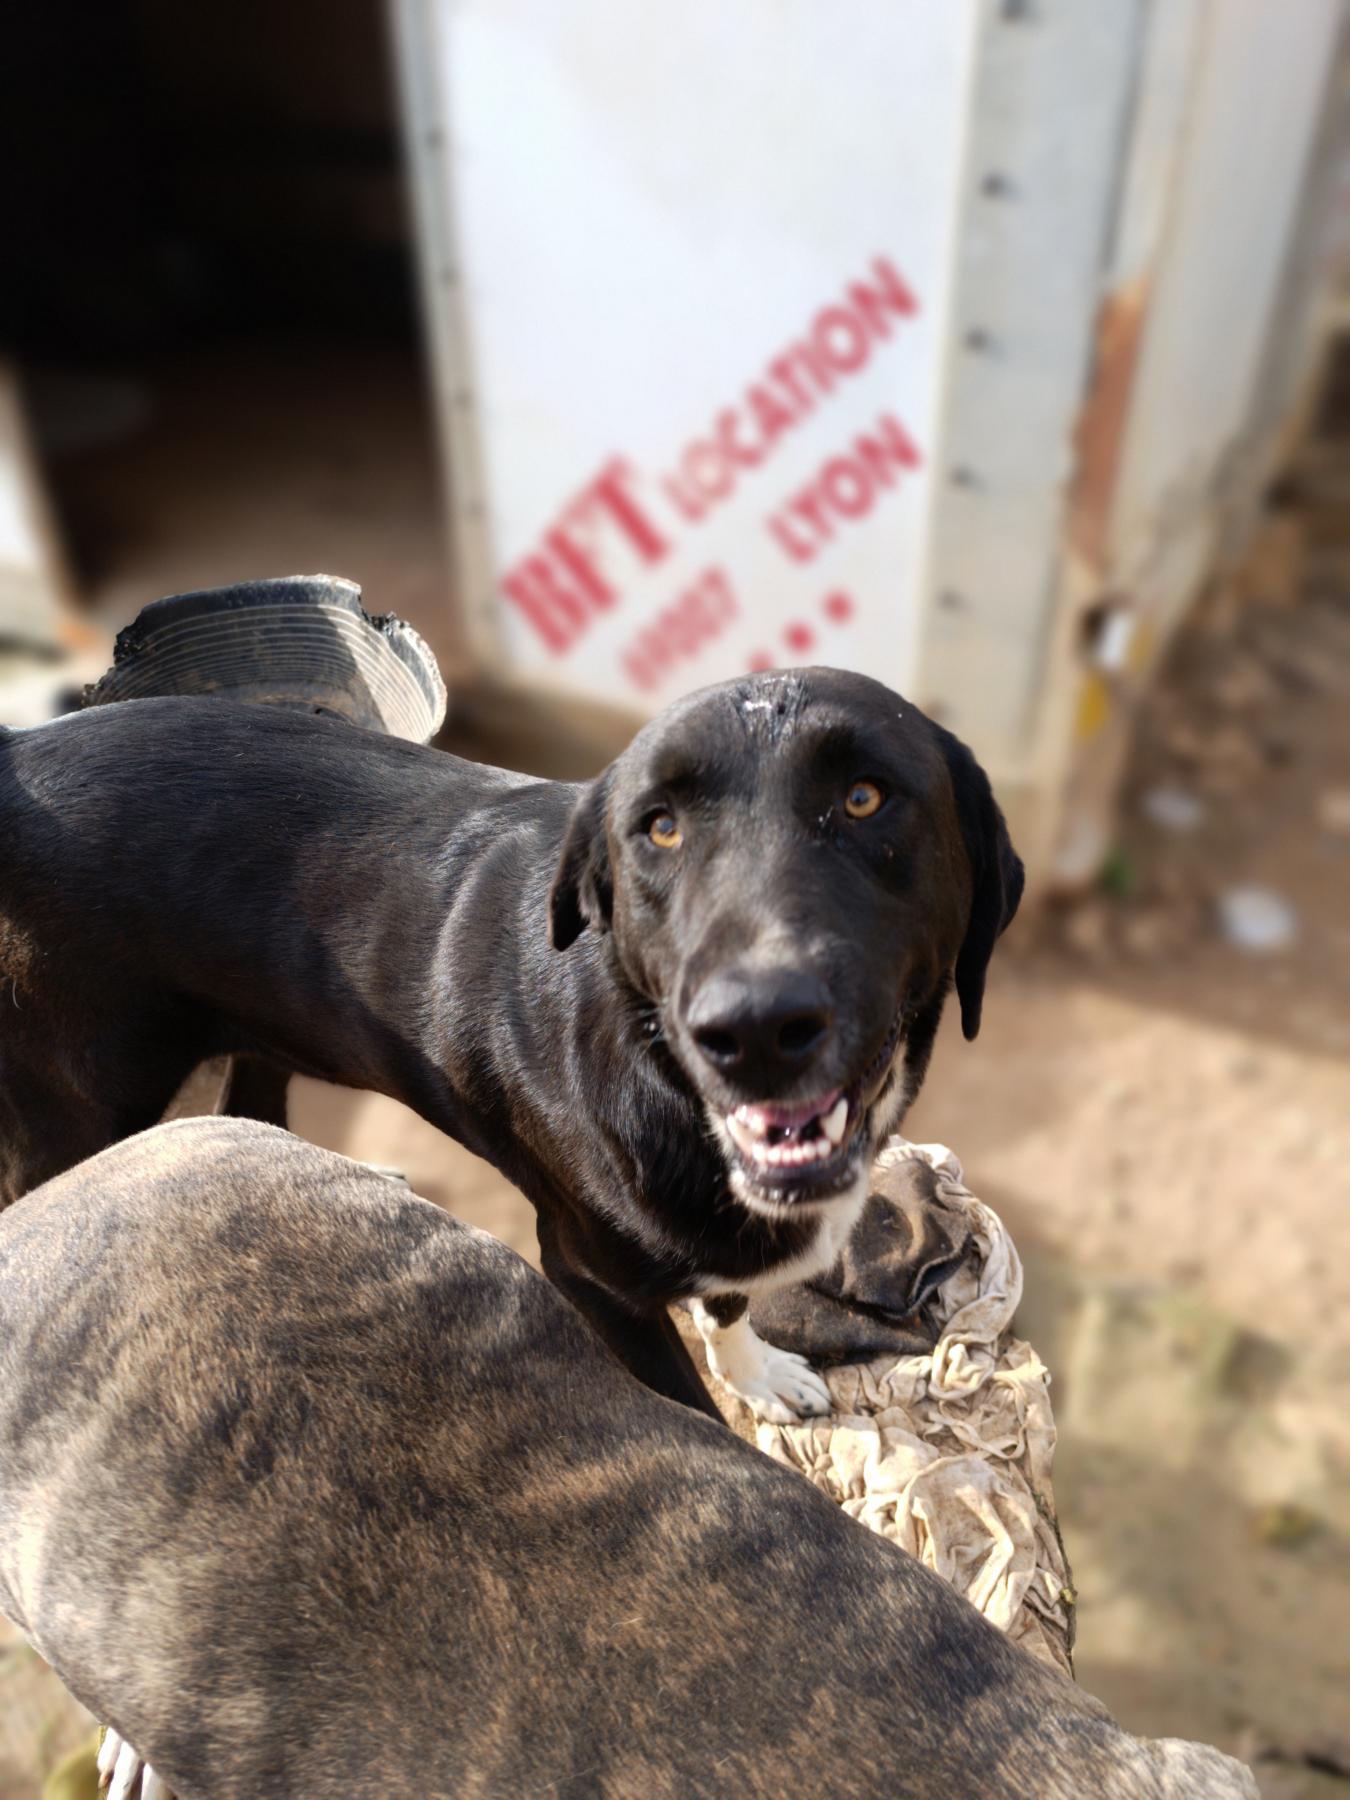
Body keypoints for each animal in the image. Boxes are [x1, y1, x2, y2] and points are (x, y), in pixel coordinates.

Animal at [0, 664, 1021, 1419]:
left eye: (864, 798)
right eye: (659, 827)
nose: (754, 1029)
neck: (654, 1063)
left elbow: (730, 1296)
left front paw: (756, 1372)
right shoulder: (589, 1276)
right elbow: (688, 1409)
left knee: (247, 1111)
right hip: (75, 1115)